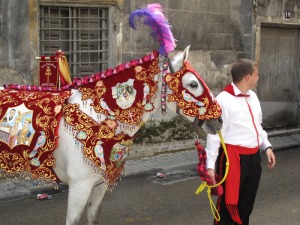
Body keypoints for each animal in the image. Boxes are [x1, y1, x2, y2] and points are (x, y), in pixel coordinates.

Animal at [52, 44, 223, 224]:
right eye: (193, 84)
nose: (219, 120)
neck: (97, 120)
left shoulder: (98, 185)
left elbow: (93, 217)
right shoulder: (79, 186)